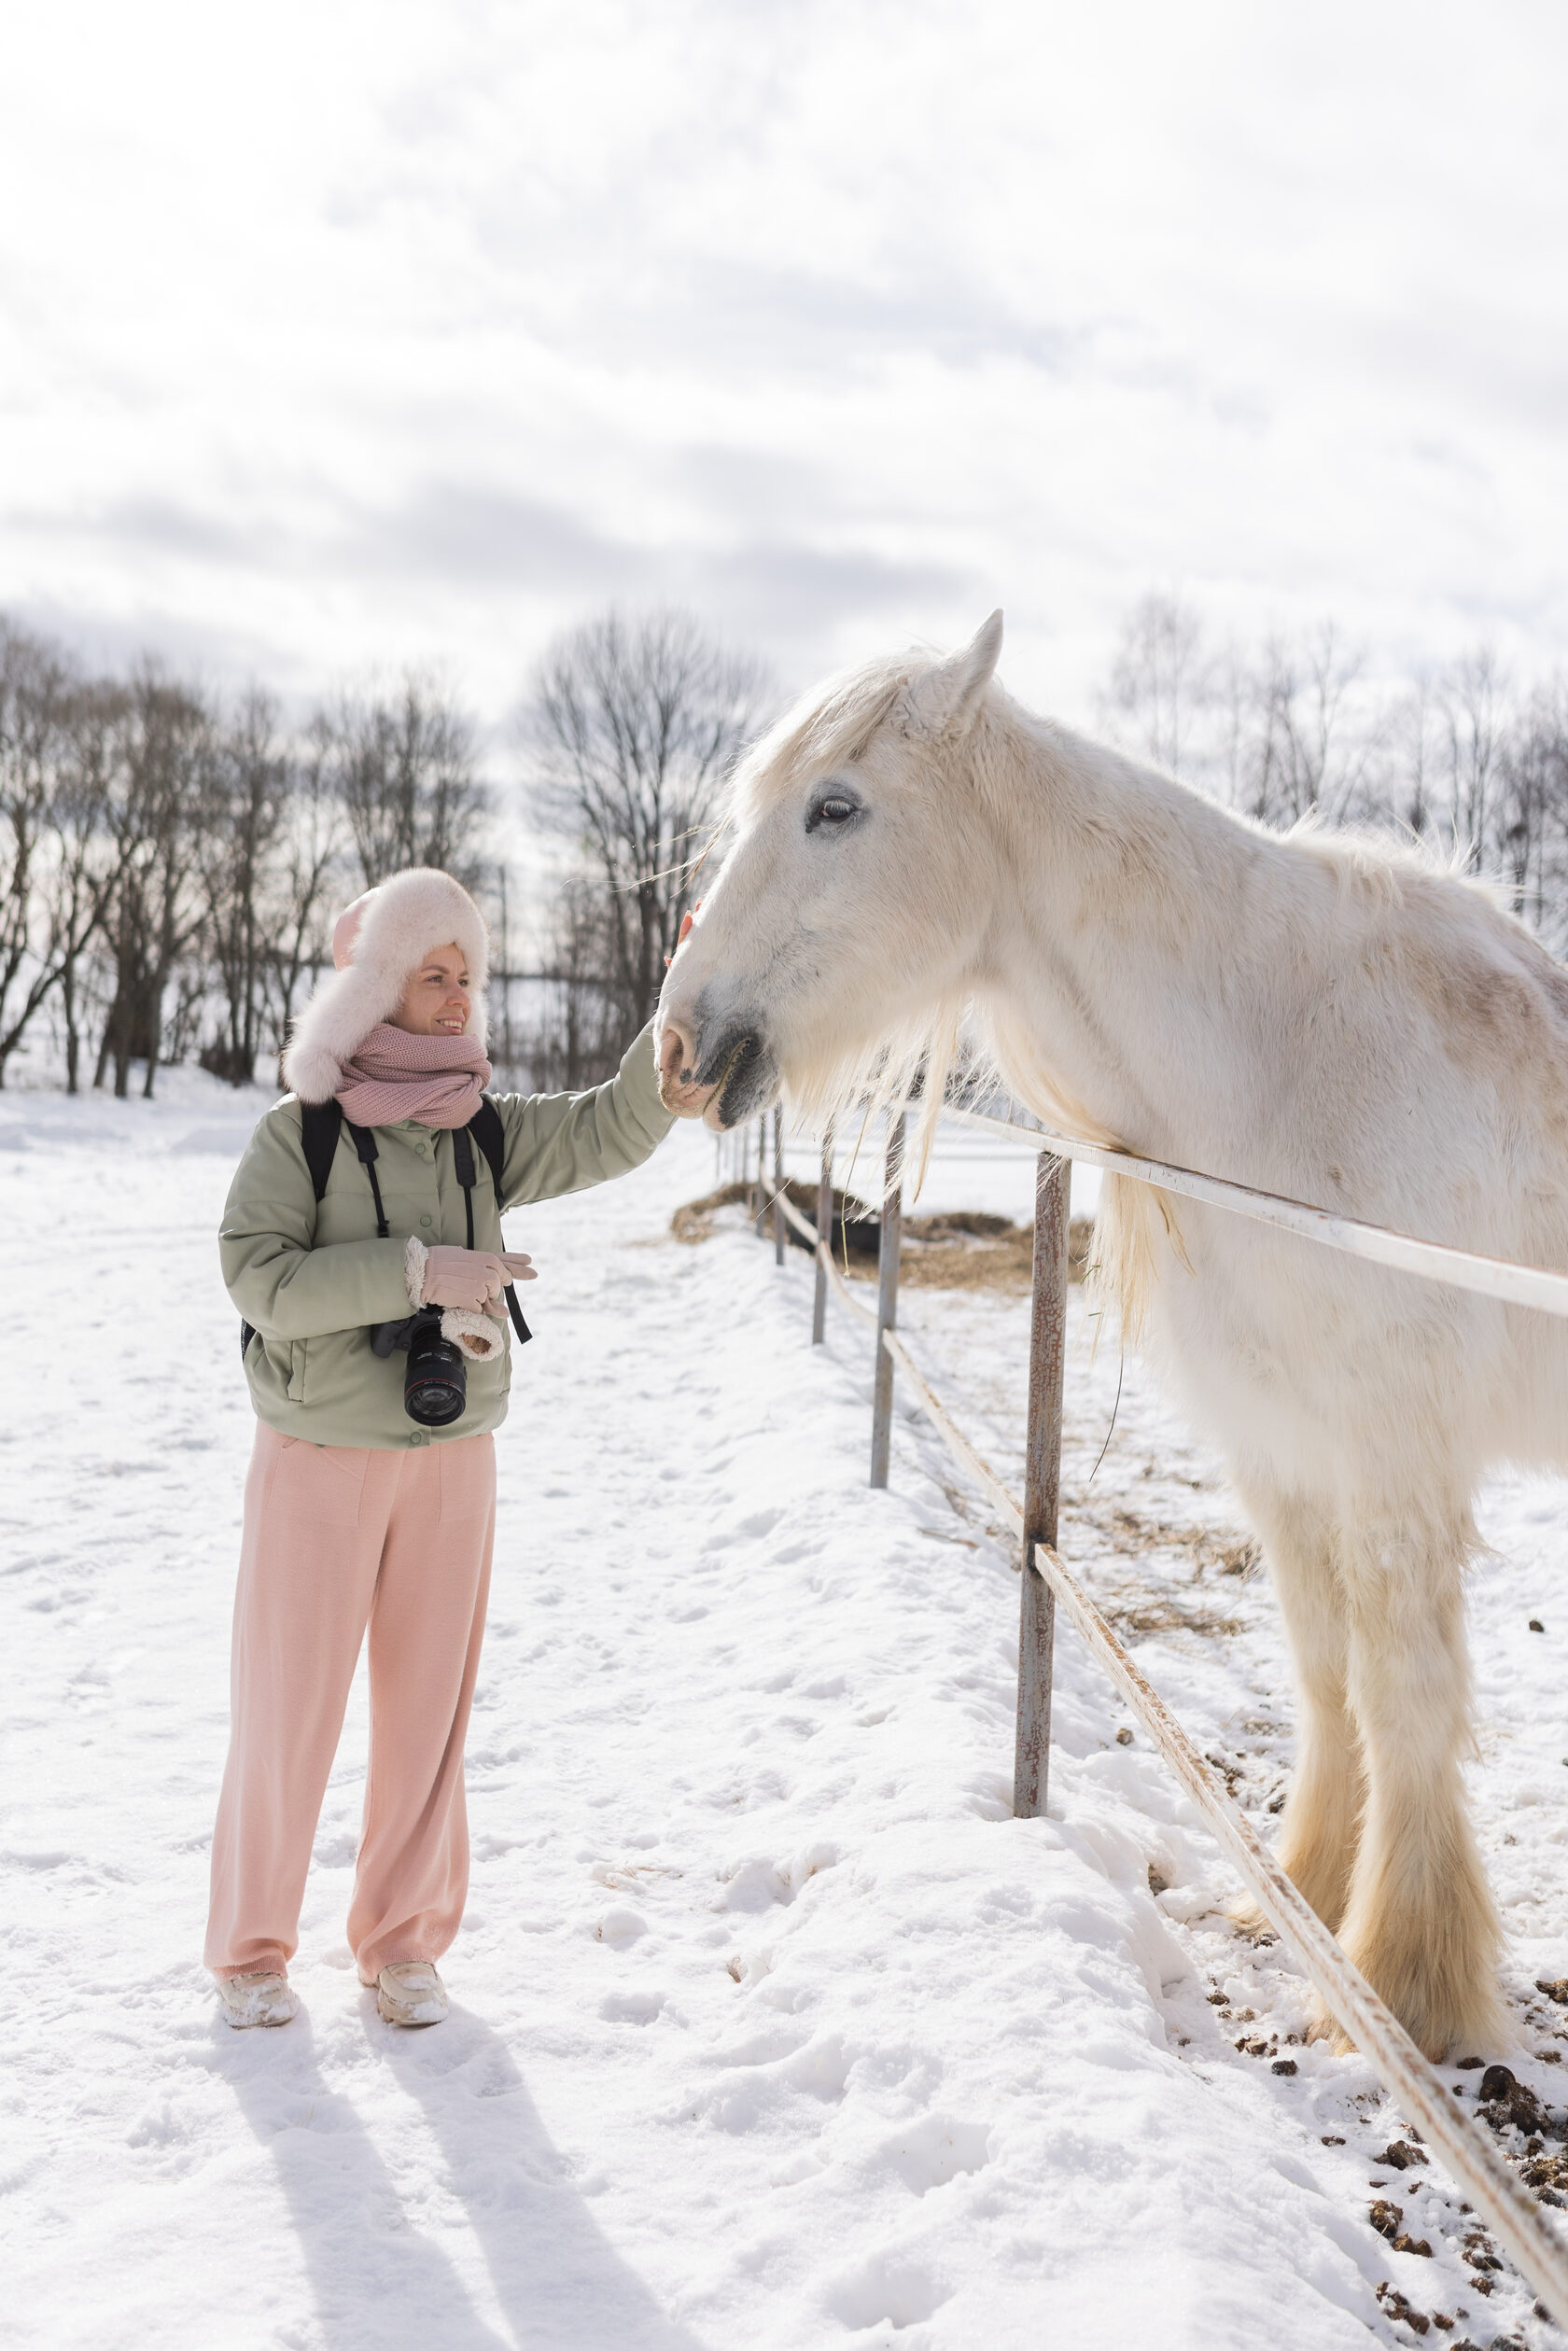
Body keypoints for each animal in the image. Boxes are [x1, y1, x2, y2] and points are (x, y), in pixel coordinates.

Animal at [658, 610, 1568, 2059]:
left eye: (835, 806)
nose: (681, 1044)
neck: (1287, 1052)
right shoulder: (1282, 1446)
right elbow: (1326, 1672)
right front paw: (1302, 1900)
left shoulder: (1395, 1461)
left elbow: (1406, 1693)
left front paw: (1408, 1985)